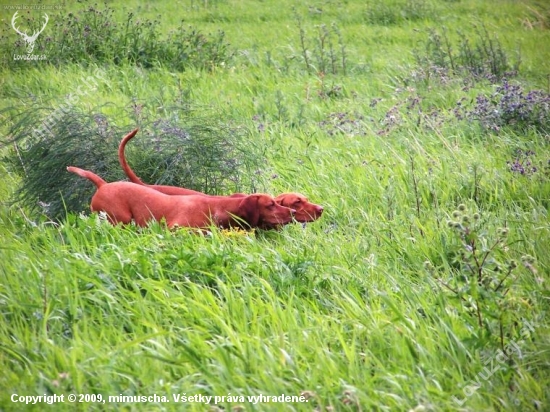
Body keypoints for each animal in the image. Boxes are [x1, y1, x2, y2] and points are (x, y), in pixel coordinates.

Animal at [68, 167, 298, 230]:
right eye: (270, 204)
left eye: (277, 201)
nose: (293, 212)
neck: (219, 206)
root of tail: (103, 185)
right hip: (119, 219)